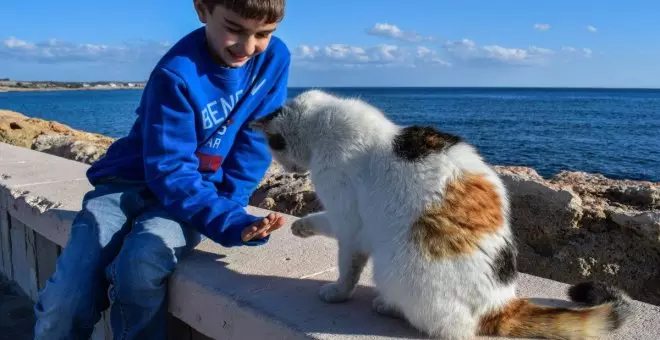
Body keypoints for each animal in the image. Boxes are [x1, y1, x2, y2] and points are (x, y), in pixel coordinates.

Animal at [250, 89, 632, 340]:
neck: (323, 126)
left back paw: (389, 306)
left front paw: (335, 286)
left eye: (273, 146)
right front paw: (301, 227)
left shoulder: (350, 222)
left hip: (395, 267)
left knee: (448, 329)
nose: (289, 168)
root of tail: (501, 303)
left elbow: (346, 262)